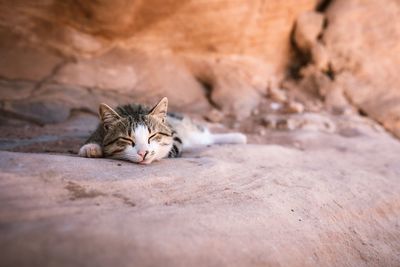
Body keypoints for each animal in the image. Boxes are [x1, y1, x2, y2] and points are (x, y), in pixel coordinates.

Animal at [78, 98, 247, 165]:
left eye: (152, 136)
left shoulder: (175, 137)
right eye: (127, 139)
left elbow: (169, 147)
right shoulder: (100, 128)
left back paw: (238, 137)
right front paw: (90, 147)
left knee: (206, 136)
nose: (143, 153)